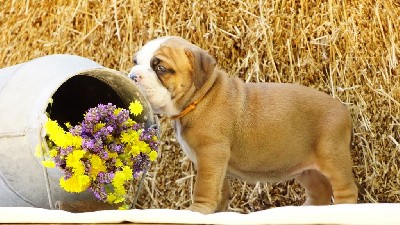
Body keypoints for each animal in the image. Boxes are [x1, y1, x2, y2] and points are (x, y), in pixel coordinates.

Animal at [129, 36, 360, 214]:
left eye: (160, 68)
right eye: (135, 61)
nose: (132, 75)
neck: (201, 97)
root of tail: (344, 110)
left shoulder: (210, 154)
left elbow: (205, 186)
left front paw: (197, 210)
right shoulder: (217, 163)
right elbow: (219, 189)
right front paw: (217, 212)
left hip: (332, 156)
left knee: (346, 190)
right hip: (308, 170)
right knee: (320, 191)